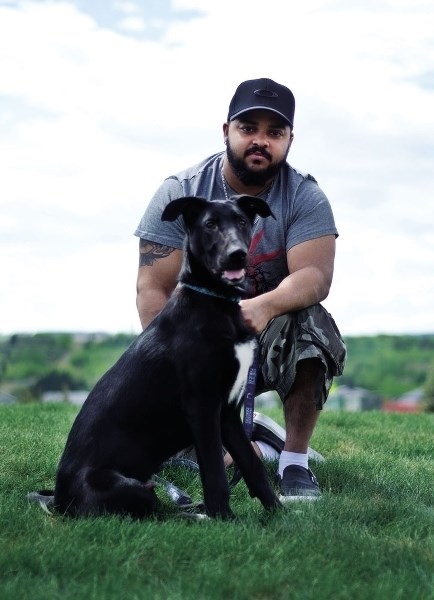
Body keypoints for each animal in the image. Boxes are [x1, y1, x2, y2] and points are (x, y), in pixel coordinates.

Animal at [53, 197, 282, 520]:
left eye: (242, 222)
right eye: (210, 224)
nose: (237, 255)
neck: (217, 304)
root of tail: (57, 500)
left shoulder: (228, 414)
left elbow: (253, 466)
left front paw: (279, 513)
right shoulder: (203, 408)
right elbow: (215, 474)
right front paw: (225, 520)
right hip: (128, 485)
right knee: (154, 511)